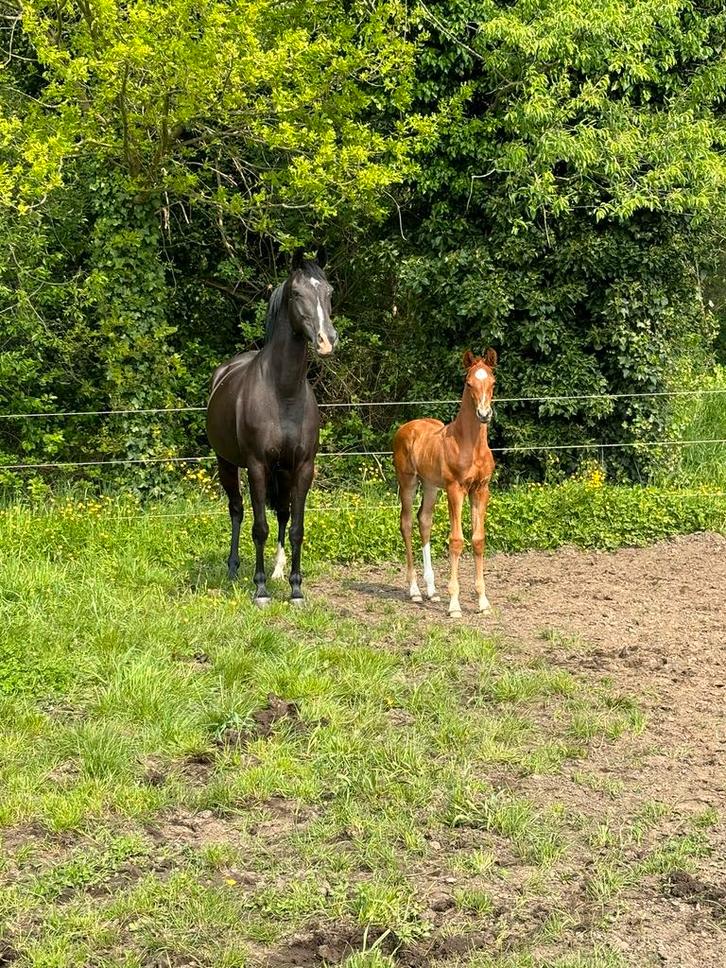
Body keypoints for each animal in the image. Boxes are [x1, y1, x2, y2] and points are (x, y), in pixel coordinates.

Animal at [206, 249, 338, 606]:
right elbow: (259, 527)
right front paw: (261, 589)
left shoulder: (303, 466)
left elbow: (296, 528)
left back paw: (279, 570)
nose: (327, 340)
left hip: (284, 470)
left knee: (282, 513)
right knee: (237, 510)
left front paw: (295, 589)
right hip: (227, 464)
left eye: (329, 292)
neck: (284, 392)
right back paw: (234, 567)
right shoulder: (257, 466)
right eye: (296, 294)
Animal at [392, 349, 497, 618]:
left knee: (424, 521)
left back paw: (431, 591)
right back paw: (415, 591)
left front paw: (483, 602)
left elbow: (478, 539)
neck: (469, 444)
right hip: (408, 482)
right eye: (468, 383)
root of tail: (405, 427)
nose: (484, 414)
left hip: (430, 486)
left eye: (493, 382)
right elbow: (456, 540)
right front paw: (455, 605)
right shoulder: (455, 489)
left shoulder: (481, 490)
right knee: (407, 523)